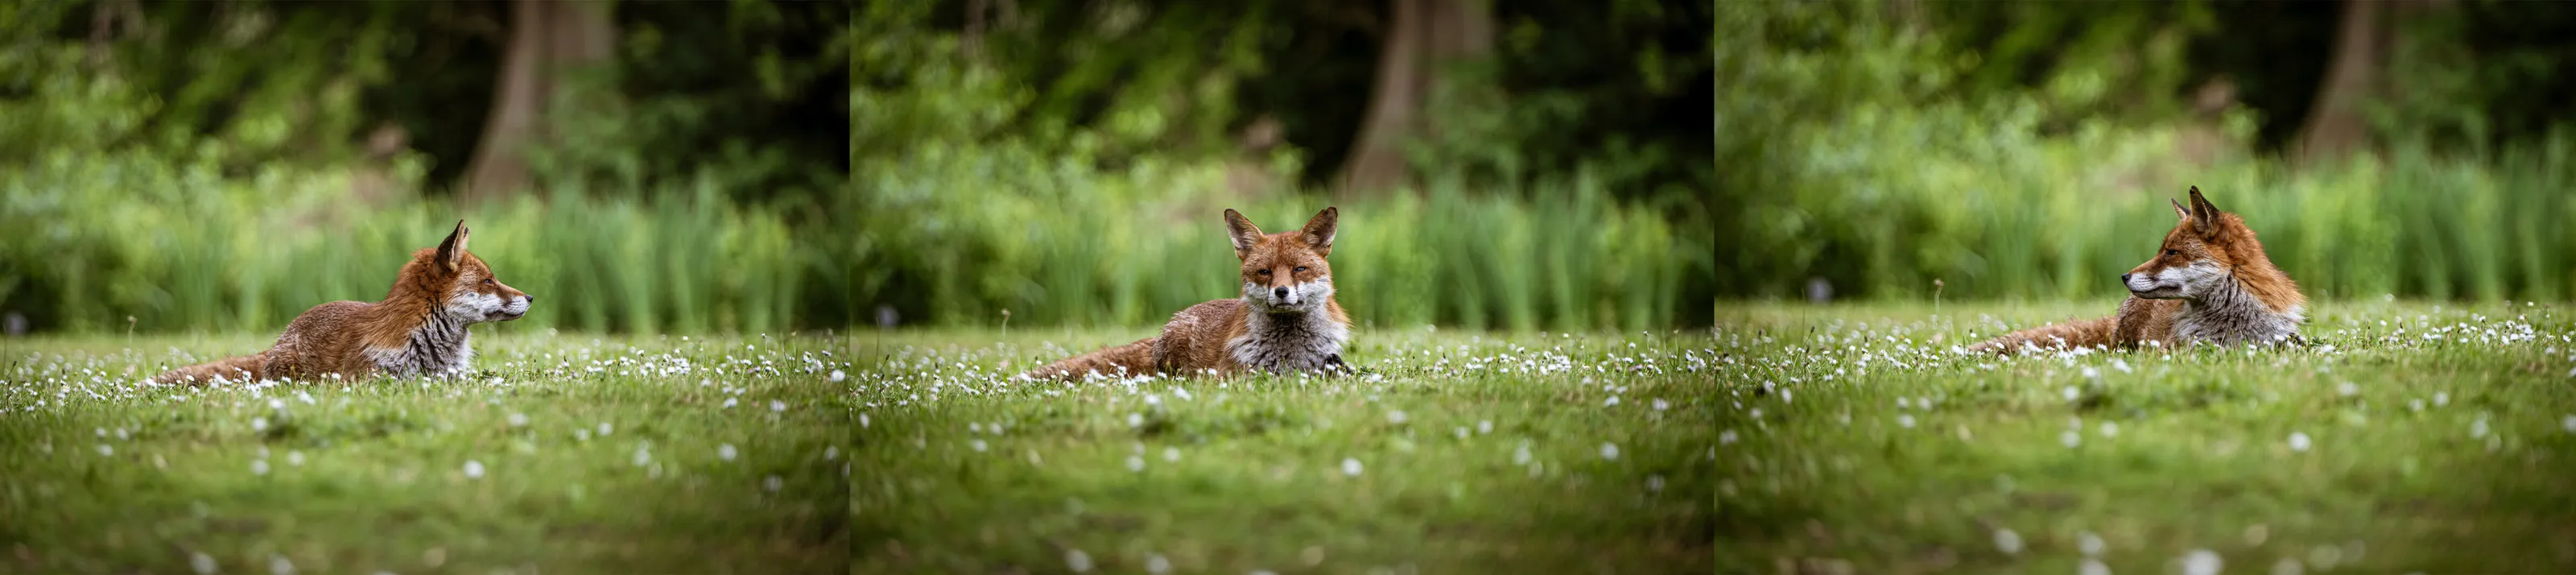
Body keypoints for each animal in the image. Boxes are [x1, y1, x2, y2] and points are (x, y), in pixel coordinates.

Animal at [1021, 207, 1353, 380]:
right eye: (1265, 272)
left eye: (1299, 269)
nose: (1282, 292)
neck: (1288, 347)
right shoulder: (1233, 374)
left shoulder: (1324, 362)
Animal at [1967, 187, 2306, 354]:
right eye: (2161, 250)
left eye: (2171, 253)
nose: (2124, 277)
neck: (2232, 321)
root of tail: (2116, 318)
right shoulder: (2175, 350)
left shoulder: (2281, 339)